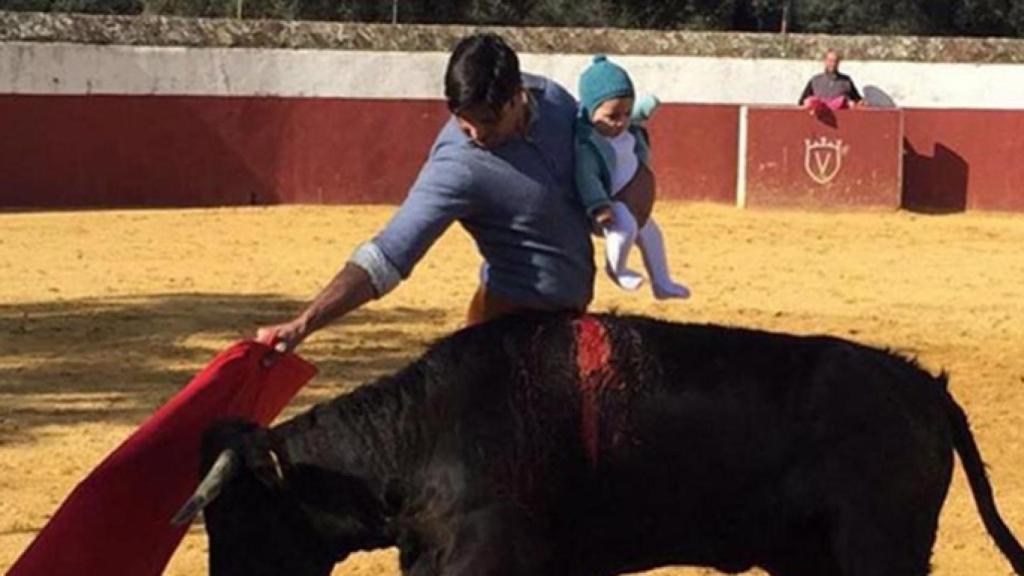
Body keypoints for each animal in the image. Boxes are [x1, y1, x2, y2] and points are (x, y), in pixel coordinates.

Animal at [176, 313, 1024, 573]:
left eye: (237, 516)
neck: (420, 437)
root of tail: (922, 383)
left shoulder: (485, 561)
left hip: (879, 551)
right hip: (810, 559)